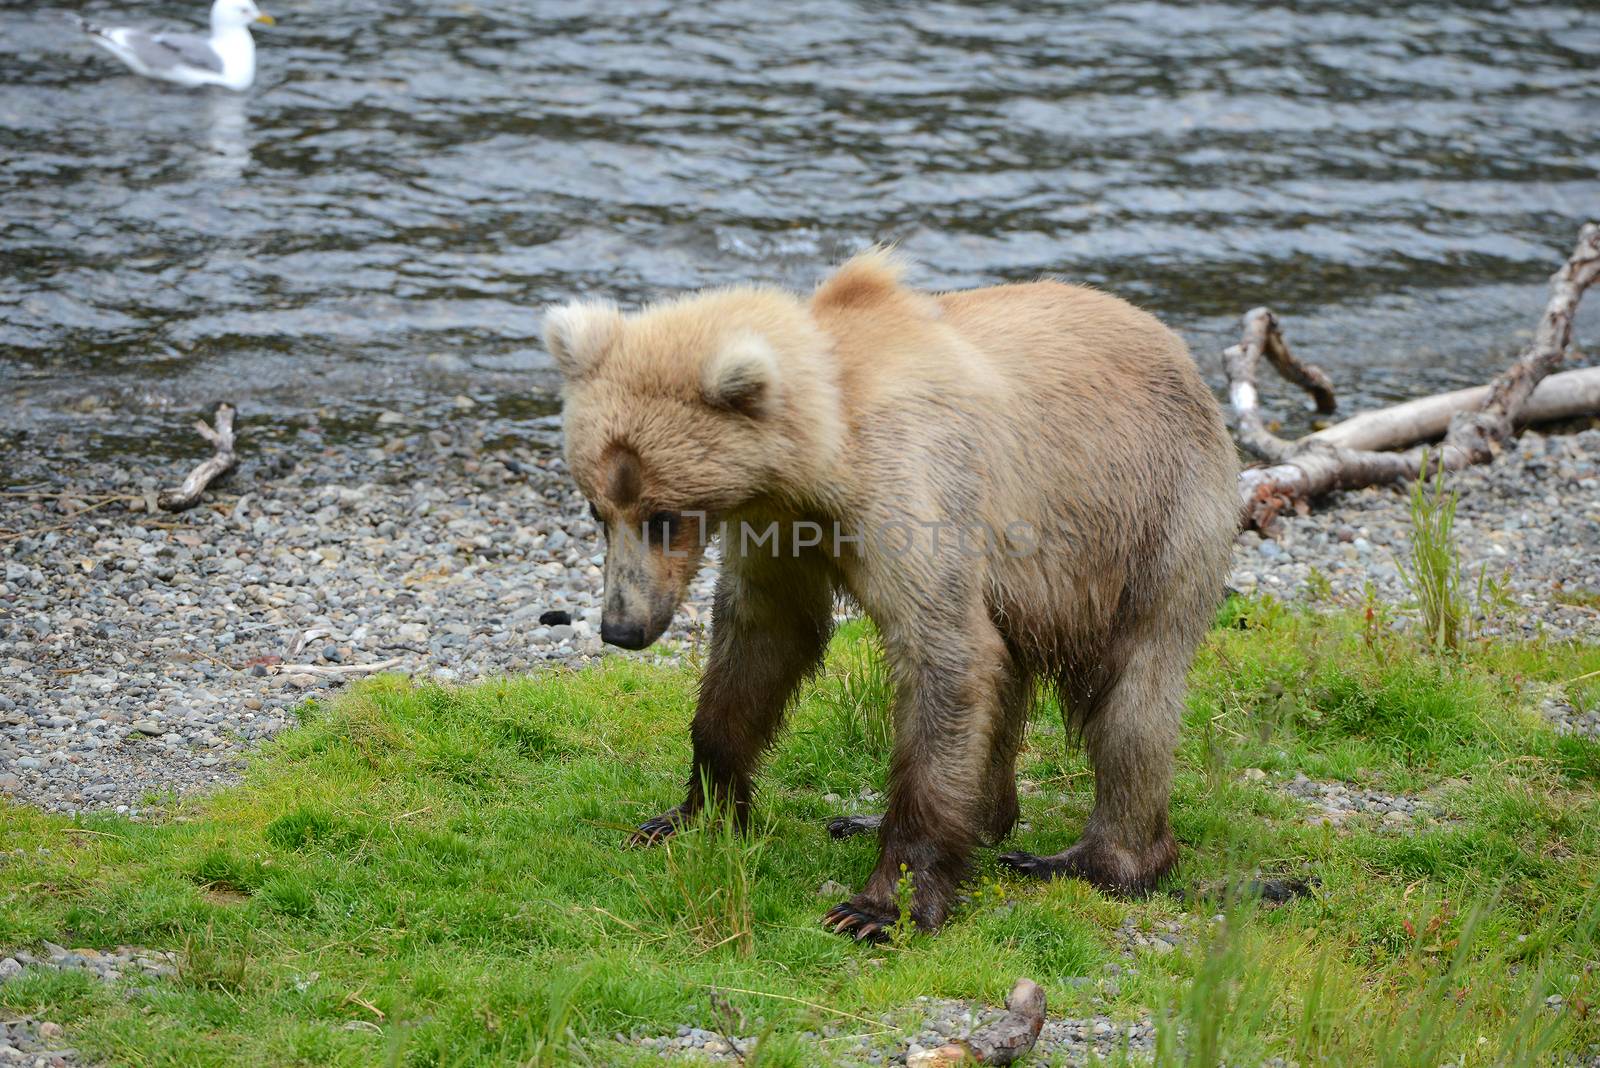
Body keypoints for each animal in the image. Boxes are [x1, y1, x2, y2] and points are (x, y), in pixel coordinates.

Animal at [547, 254, 1235, 940]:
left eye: (664, 516)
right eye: (597, 508)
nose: (621, 627)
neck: (823, 456)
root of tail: (1183, 355)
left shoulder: (911, 489)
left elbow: (945, 655)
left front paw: (879, 906)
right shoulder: (780, 526)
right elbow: (763, 638)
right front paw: (689, 814)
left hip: (1151, 521)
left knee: (1135, 692)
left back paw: (1090, 860)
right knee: (1011, 678)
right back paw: (915, 820)